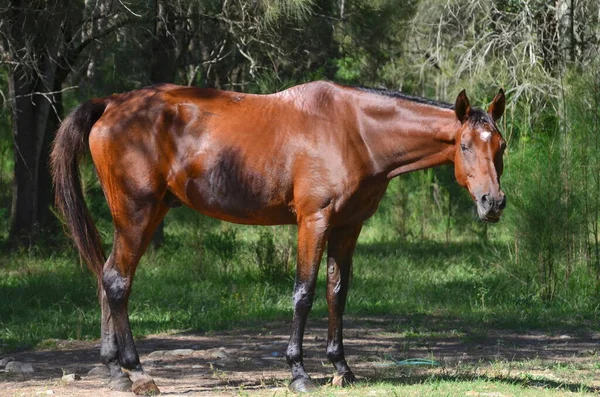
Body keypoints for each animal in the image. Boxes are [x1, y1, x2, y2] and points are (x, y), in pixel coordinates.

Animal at [50, 80, 506, 392]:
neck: (356, 131)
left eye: (500, 146)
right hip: (137, 213)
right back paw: (139, 373)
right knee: (117, 281)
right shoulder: (314, 222)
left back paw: (115, 372)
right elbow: (304, 293)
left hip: (145, 214)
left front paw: (341, 368)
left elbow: (337, 292)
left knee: (107, 276)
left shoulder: (348, 227)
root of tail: (112, 103)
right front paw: (299, 372)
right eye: (465, 146)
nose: (493, 202)